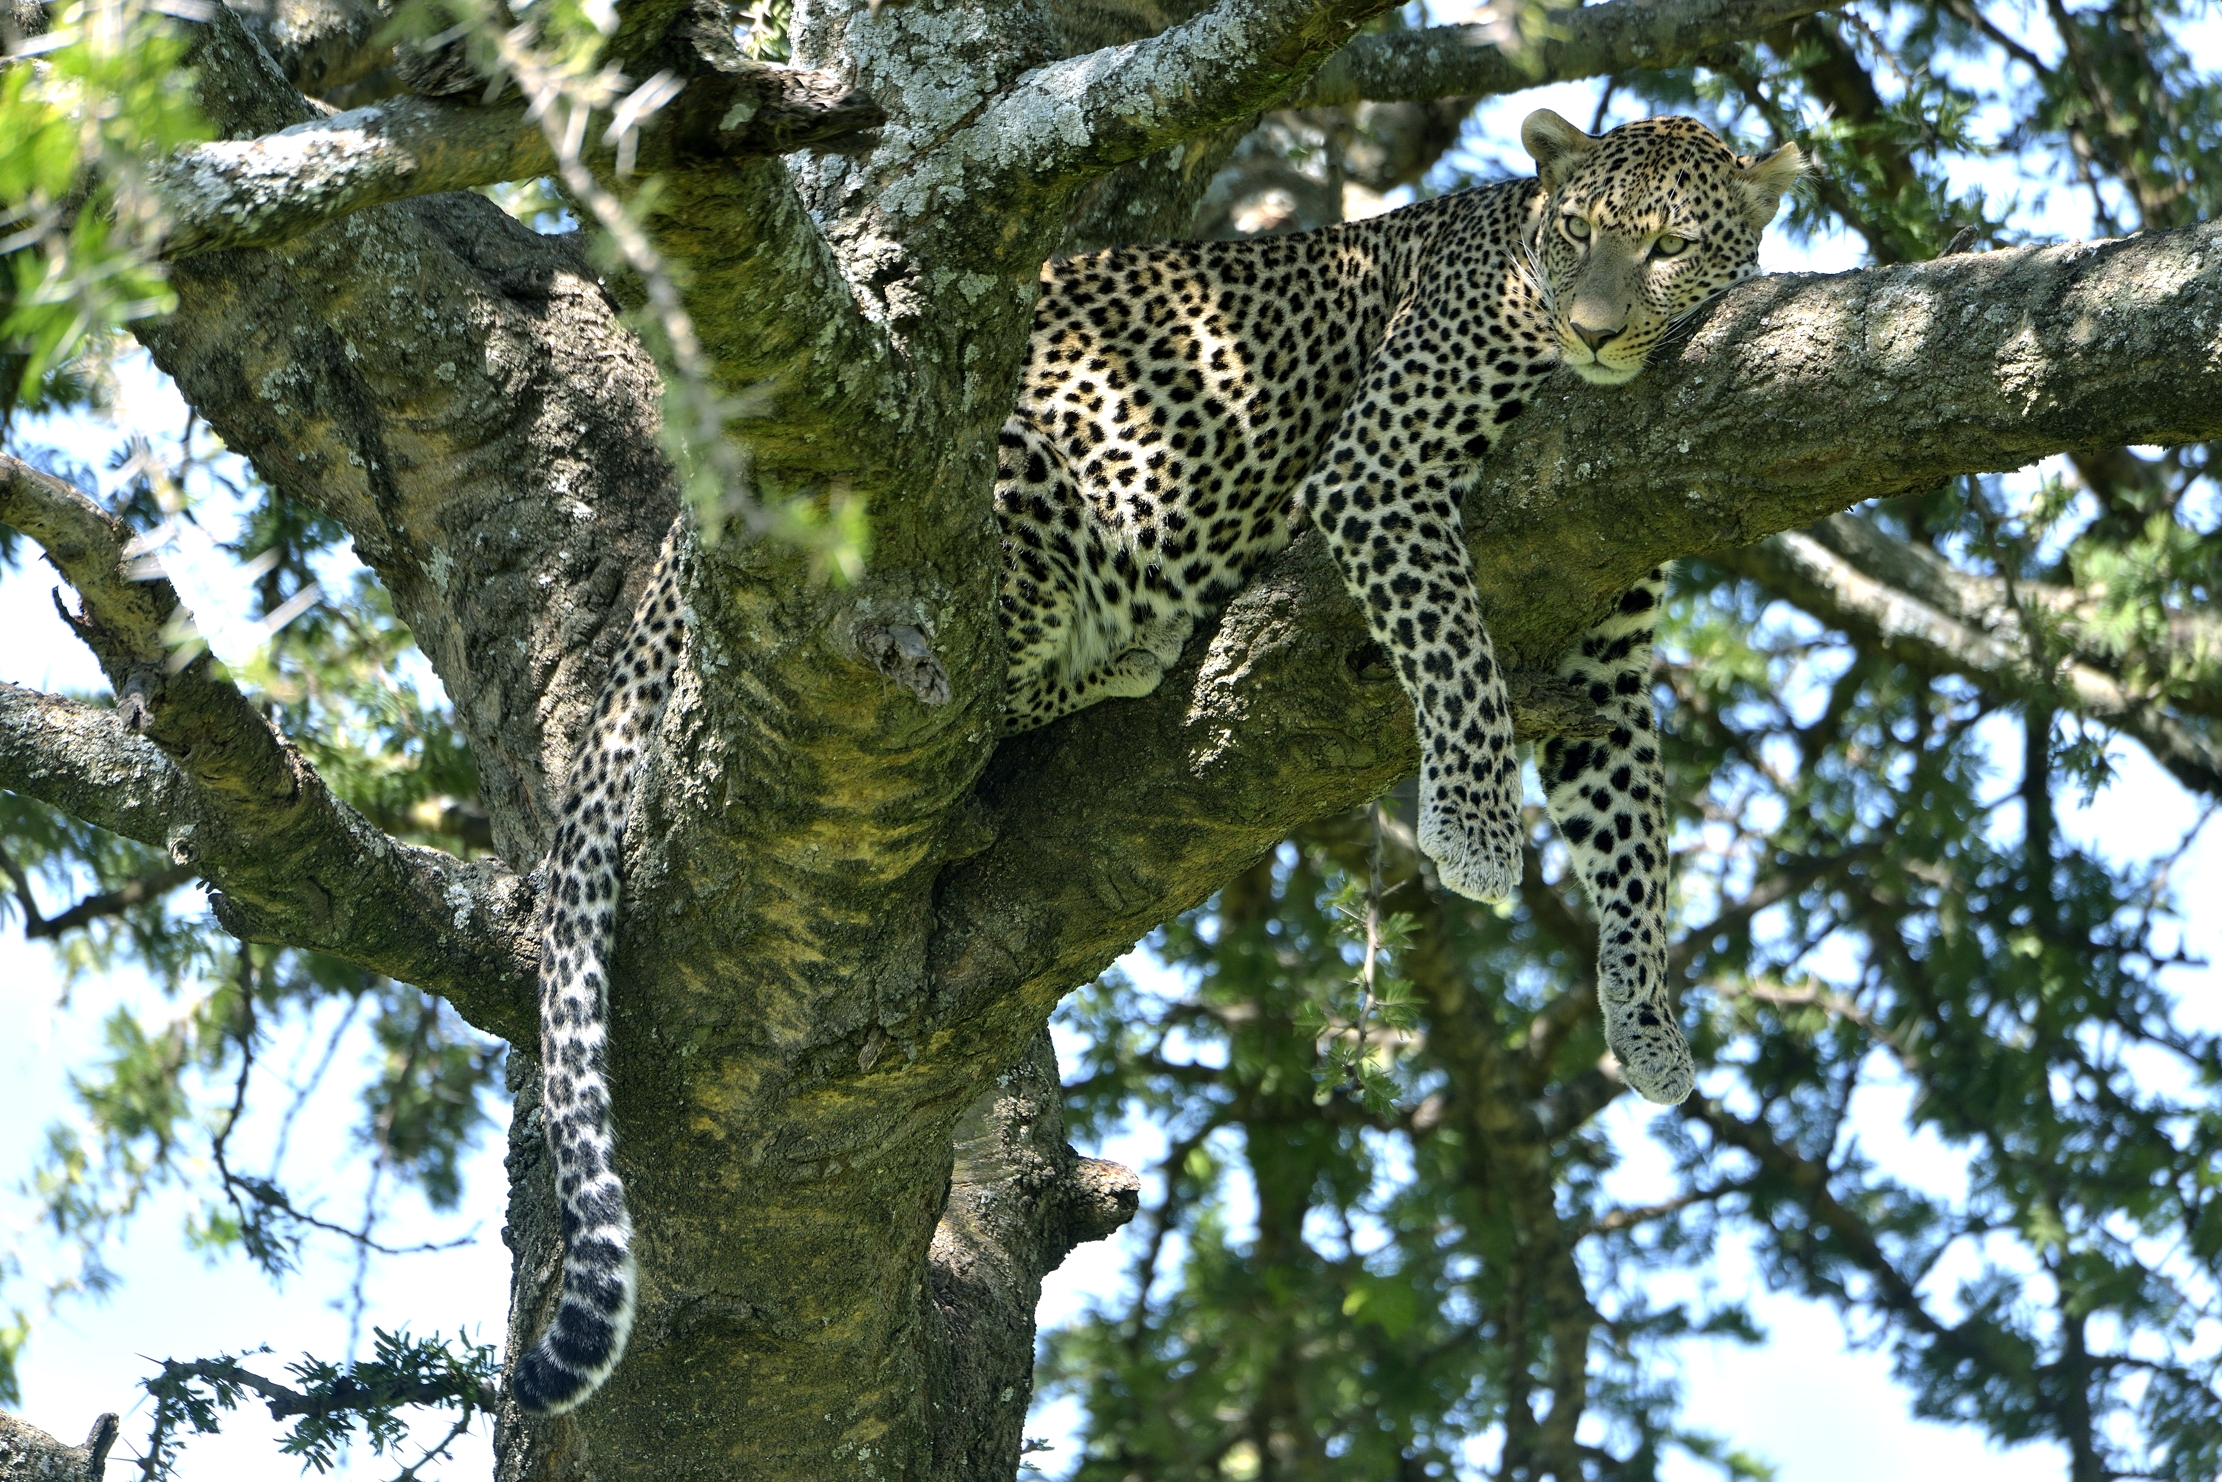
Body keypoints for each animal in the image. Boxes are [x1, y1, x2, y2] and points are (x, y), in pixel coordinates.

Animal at [505, 109, 1803, 1414]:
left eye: (1666, 247)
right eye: (1577, 231)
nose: (1593, 331)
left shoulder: (1609, 629)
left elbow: (1630, 835)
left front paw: (1646, 1019)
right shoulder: (1378, 471)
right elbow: (1454, 649)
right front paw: (1478, 832)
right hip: (1009, 486)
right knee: (971, 682)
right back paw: (1125, 653)